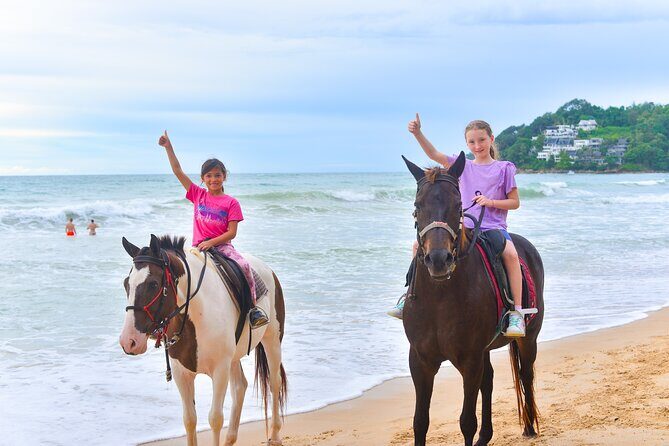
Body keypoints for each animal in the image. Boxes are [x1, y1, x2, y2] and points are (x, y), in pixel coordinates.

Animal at [119, 234, 287, 446]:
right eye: (126, 283)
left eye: (153, 284)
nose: (129, 341)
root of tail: (267, 269)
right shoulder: (181, 373)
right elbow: (189, 419)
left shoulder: (220, 370)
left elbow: (215, 419)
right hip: (233, 358)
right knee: (240, 387)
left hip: (272, 340)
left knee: (274, 382)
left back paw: (275, 435)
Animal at [402, 153, 544, 446]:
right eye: (417, 205)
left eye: (458, 205)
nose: (438, 260)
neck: (440, 297)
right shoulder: (420, 361)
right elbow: (420, 422)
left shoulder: (469, 360)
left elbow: (467, 421)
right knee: (488, 381)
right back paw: (486, 436)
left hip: (529, 339)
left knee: (526, 374)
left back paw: (529, 427)